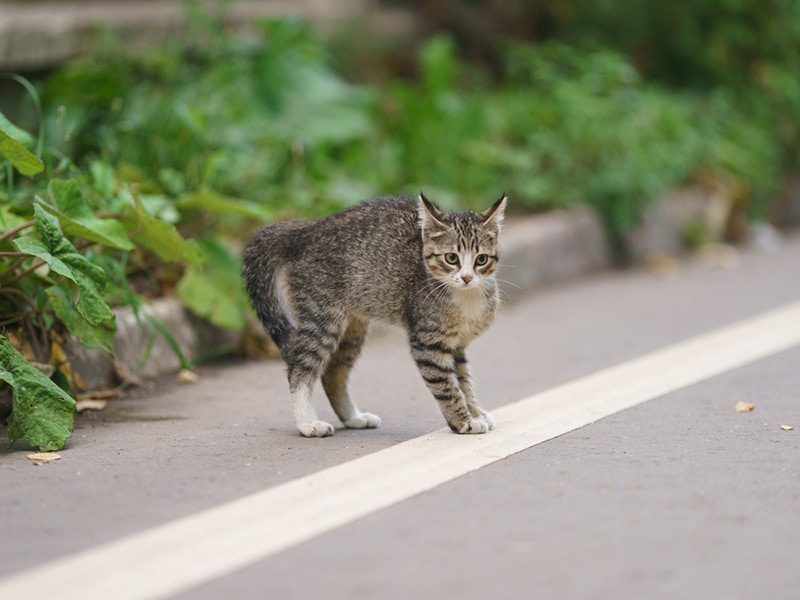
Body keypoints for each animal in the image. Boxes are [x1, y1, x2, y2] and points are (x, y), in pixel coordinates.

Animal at [242, 195, 506, 438]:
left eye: (481, 259)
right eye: (451, 258)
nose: (467, 277)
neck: (466, 298)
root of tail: (306, 231)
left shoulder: (457, 346)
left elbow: (464, 381)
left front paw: (475, 411)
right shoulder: (428, 344)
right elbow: (447, 386)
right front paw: (463, 421)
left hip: (353, 328)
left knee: (332, 373)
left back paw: (353, 418)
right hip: (321, 319)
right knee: (299, 368)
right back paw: (307, 423)